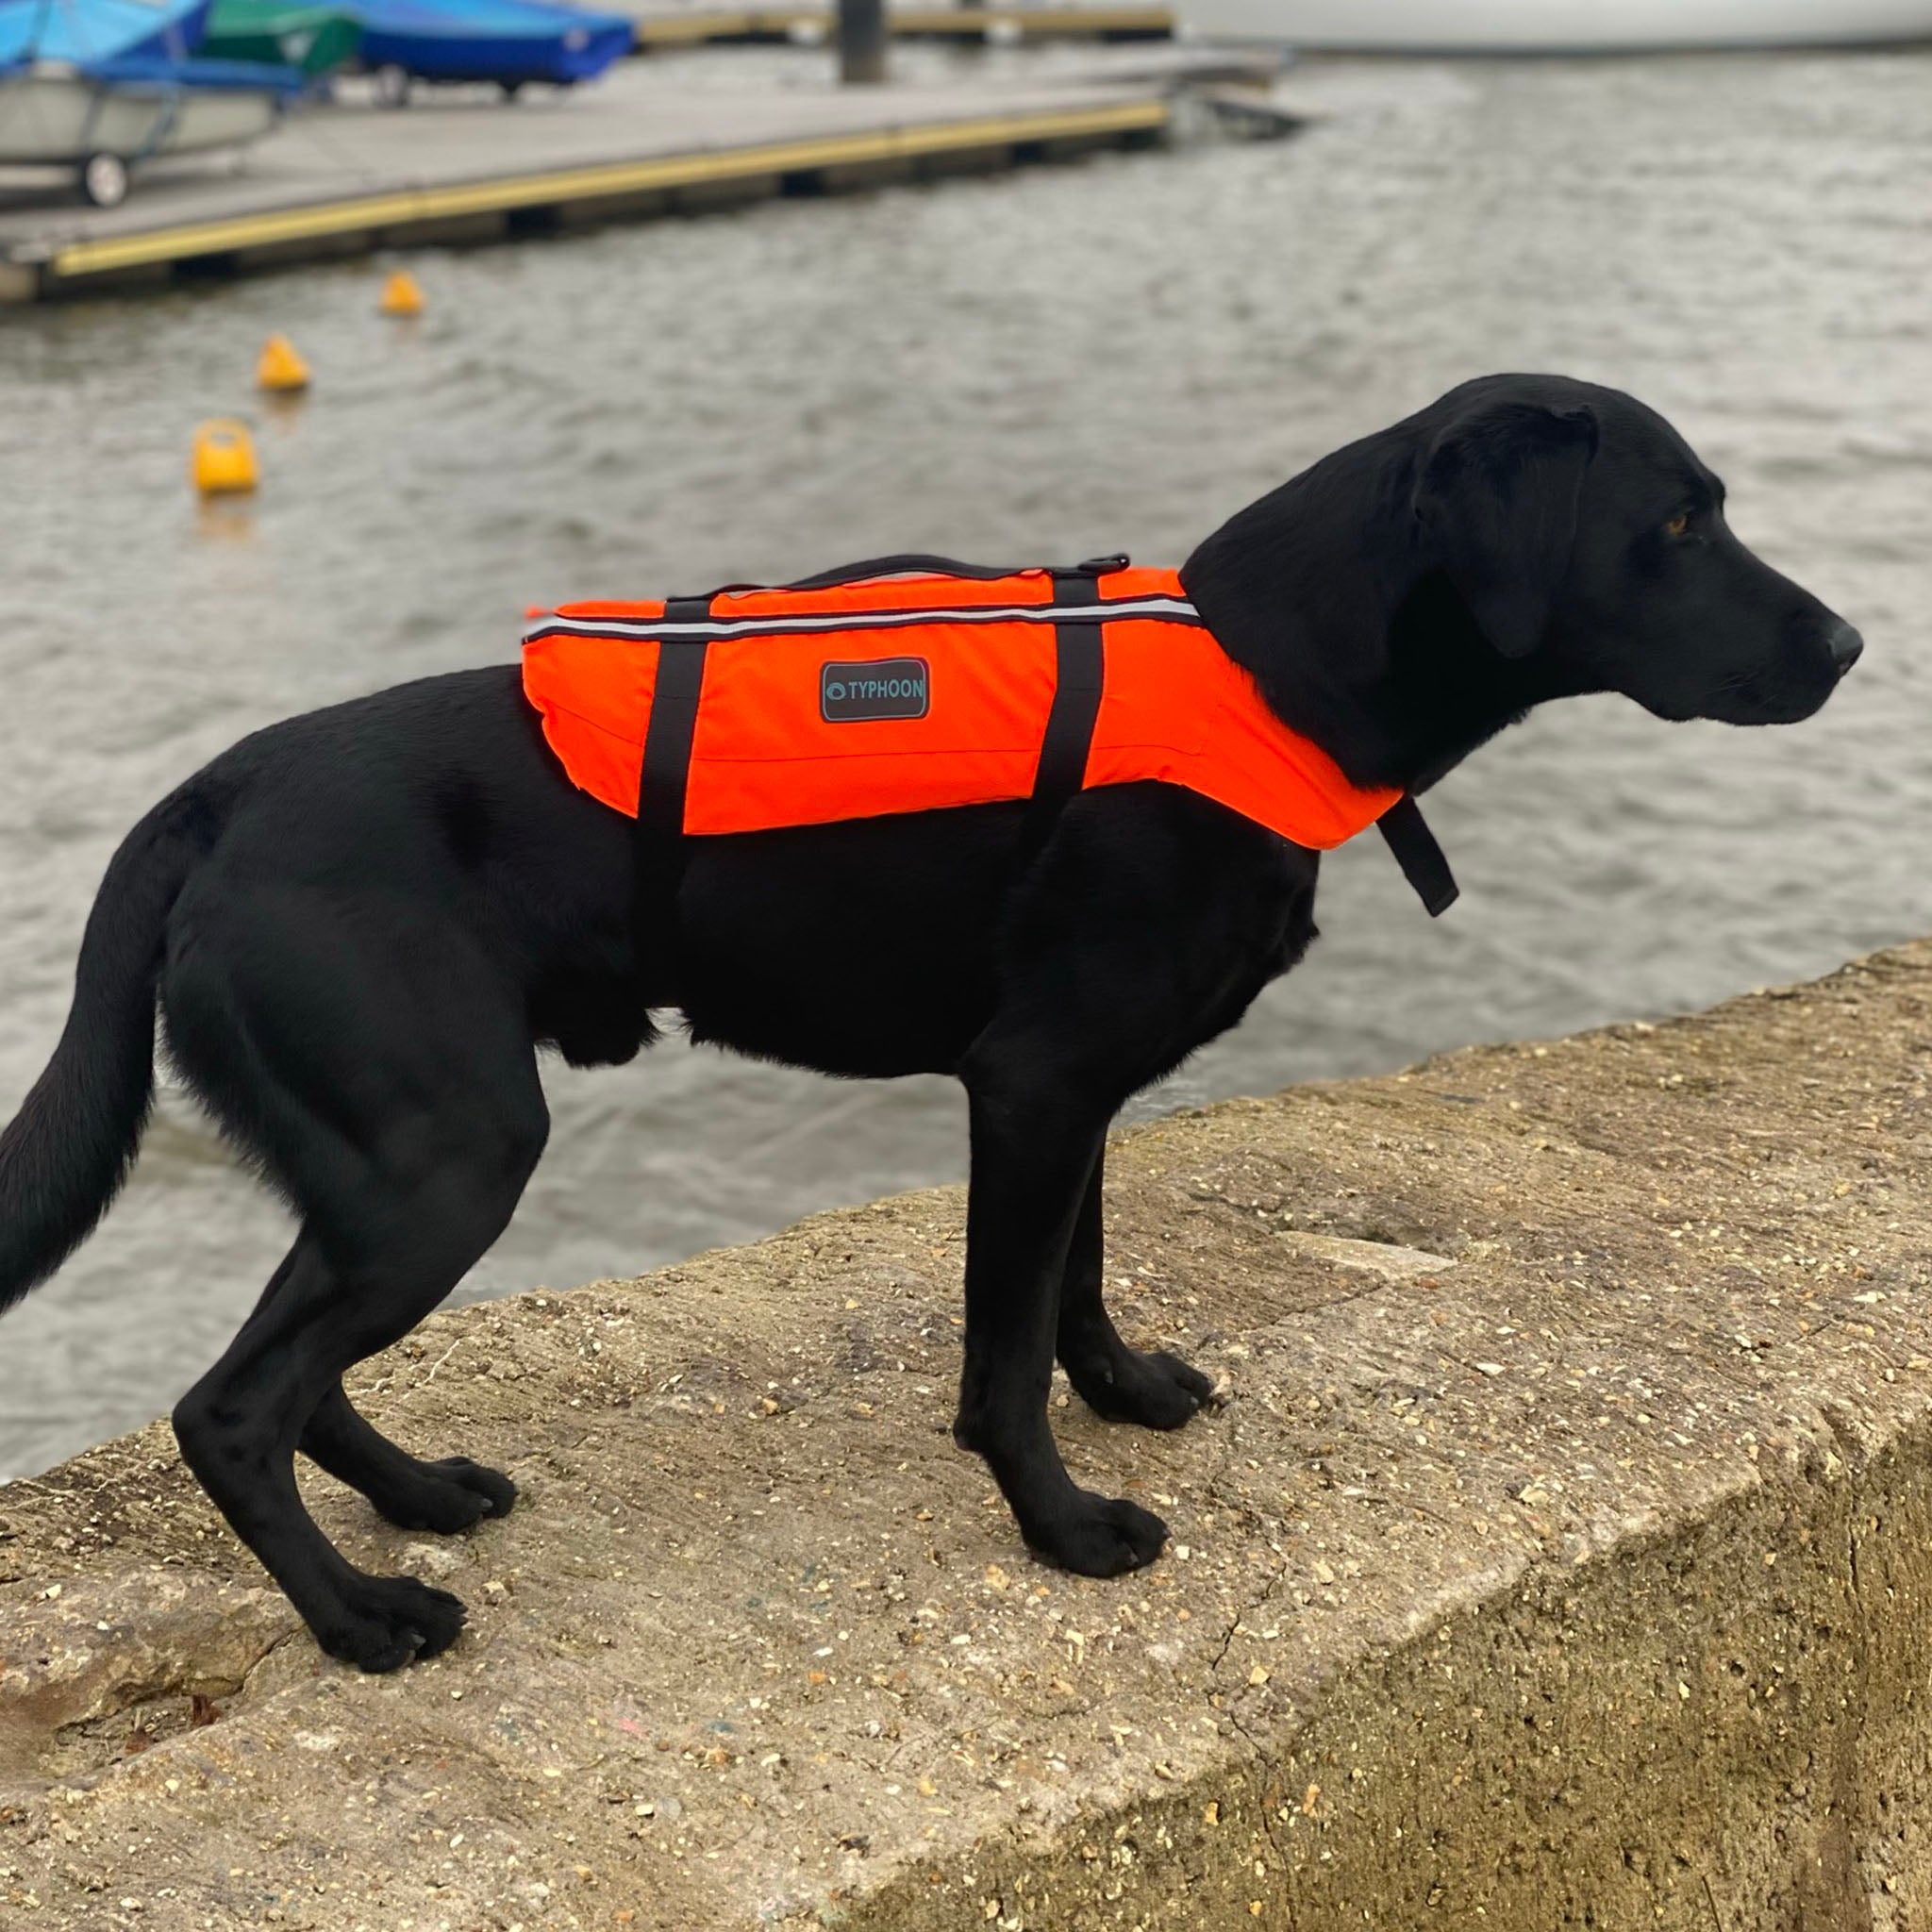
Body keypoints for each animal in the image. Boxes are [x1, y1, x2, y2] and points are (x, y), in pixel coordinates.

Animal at [4, 380, 1870, 1676]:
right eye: (1679, 525)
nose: (1854, 639)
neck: (1258, 665)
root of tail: (211, 796)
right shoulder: (1033, 1082)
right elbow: (999, 1348)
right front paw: (1063, 1524)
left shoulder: (1076, 1090)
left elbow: (1075, 1284)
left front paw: (1126, 1387)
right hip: (448, 1155)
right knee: (231, 1406)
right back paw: (360, 1617)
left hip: (381, 1165)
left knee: (291, 1377)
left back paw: (417, 1503)